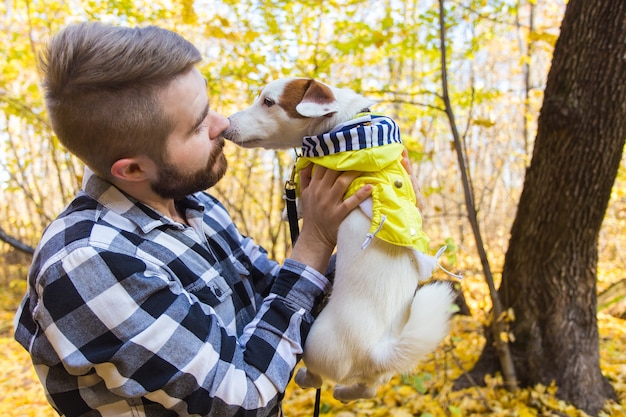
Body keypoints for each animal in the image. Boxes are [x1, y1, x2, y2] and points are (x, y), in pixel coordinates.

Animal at [223, 77, 454, 400]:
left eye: (268, 102)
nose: (225, 123)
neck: (346, 126)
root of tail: (375, 351)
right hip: (378, 374)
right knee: (367, 388)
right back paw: (344, 393)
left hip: (313, 342)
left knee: (320, 375)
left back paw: (306, 377)